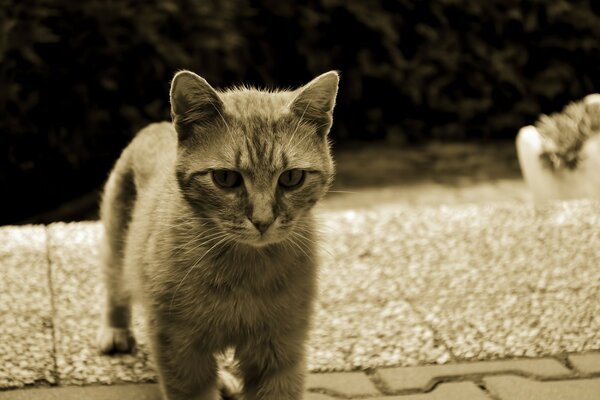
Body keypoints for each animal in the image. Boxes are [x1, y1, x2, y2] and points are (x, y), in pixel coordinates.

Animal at [95, 69, 338, 400]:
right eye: (225, 178)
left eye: (291, 178)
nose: (262, 220)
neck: (245, 272)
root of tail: (155, 126)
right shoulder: (180, 349)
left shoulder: (280, 351)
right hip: (116, 245)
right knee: (116, 286)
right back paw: (116, 331)